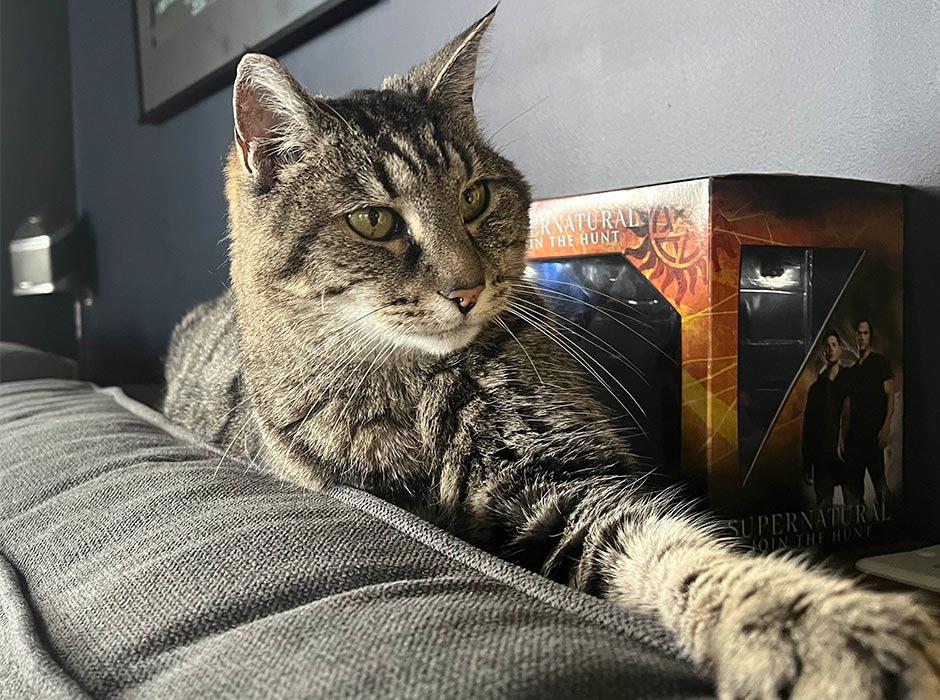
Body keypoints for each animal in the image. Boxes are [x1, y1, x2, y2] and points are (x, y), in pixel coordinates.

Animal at [164, 9, 939, 698]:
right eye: (374, 220)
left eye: (474, 198)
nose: (467, 288)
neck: (414, 391)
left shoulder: (568, 484)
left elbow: (681, 553)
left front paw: (826, 626)